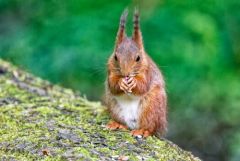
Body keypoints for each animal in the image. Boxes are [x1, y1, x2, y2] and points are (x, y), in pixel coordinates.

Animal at [105, 8, 167, 137]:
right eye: (115, 57)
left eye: (138, 58)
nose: (126, 74)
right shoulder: (110, 70)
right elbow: (112, 85)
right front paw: (121, 83)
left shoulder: (147, 72)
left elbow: (143, 86)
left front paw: (133, 83)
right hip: (114, 107)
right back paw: (117, 124)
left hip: (152, 108)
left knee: (151, 127)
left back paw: (143, 130)